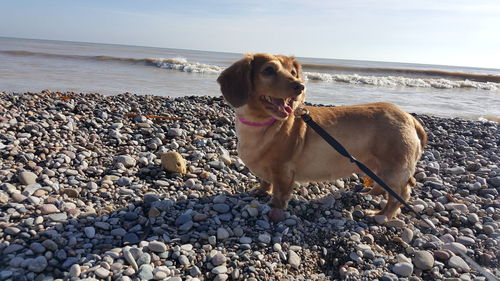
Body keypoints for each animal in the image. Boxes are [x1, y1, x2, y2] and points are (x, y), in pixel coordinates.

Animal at [217, 53, 428, 221]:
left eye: (293, 72)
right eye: (268, 70)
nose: (300, 86)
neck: (262, 124)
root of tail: (409, 118)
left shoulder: (283, 171)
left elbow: (279, 194)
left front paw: (273, 208)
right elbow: (265, 182)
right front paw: (260, 191)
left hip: (393, 170)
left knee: (400, 195)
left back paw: (382, 215)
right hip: (377, 168)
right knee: (382, 186)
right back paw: (371, 192)